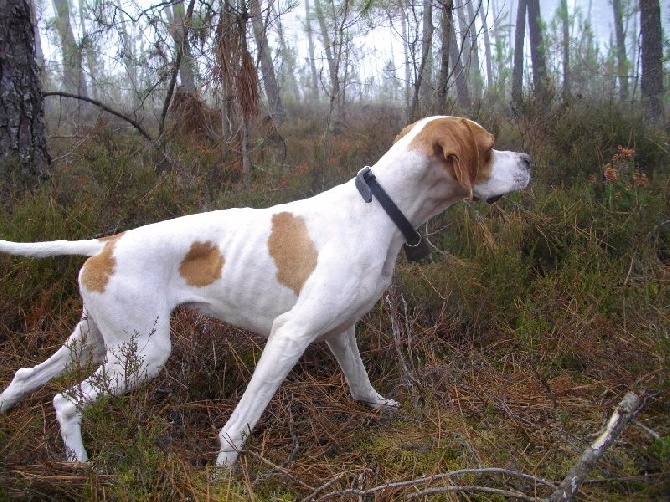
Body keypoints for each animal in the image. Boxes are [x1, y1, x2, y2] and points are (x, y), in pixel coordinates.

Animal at [1, 116, 536, 466]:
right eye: (490, 147)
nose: (530, 159)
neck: (378, 208)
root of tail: (108, 242)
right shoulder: (290, 335)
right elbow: (240, 422)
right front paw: (225, 472)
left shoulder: (340, 332)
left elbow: (360, 383)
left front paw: (379, 407)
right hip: (142, 355)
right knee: (65, 401)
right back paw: (80, 463)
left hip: (97, 344)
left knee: (27, 376)